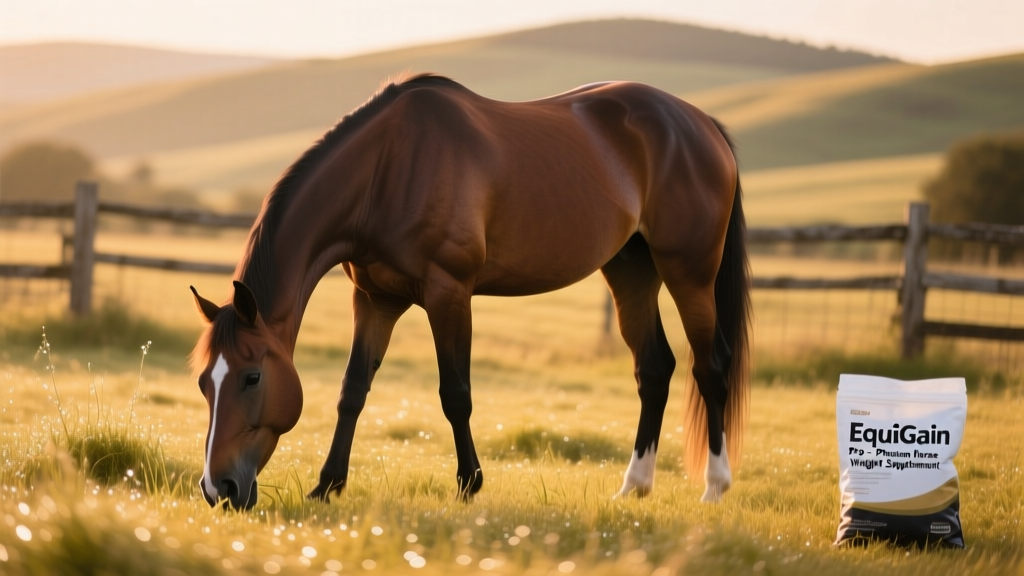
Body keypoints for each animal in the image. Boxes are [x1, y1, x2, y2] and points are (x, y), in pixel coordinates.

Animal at [189, 73, 750, 510]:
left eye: (252, 378)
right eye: (203, 383)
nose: (219, 489)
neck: (387, 169)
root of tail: (702, 125)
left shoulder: (449, 293)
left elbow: (455, 394)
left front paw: (468, 485)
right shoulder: (374, 300)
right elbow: (353, 392)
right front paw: (327, 486)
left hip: (689, 273)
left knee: (710, 366)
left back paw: (715, 487)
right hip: (631, 269)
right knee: (654, 370)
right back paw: (634, 487)